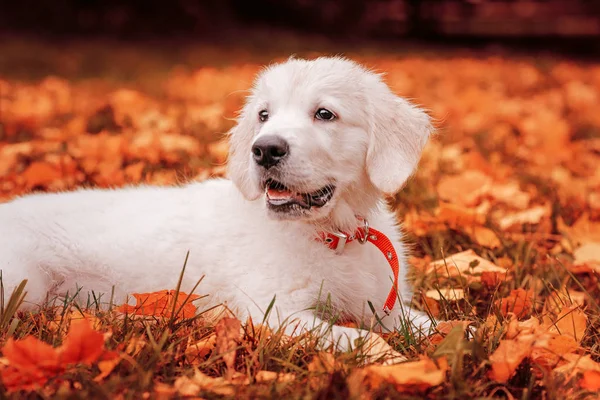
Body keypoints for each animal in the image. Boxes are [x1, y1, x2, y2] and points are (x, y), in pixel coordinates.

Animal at [0, 56, 432, 350]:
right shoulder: (272, 310)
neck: (334, 236)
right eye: (264, 115)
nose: (265, 150)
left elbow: (428, 324)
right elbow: (358, 338)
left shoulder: (383, 304)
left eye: (325, 114)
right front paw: (390, 356)